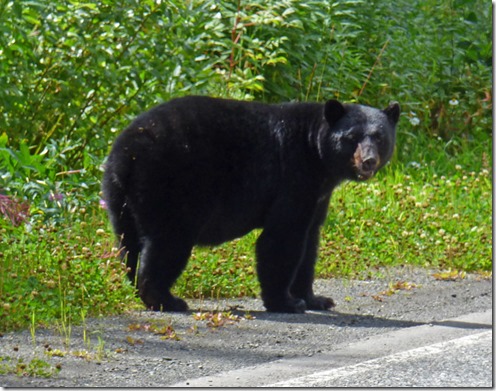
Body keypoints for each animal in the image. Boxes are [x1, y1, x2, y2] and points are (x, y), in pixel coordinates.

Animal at [102, 96, 402, 314]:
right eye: (351, 137)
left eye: (379, 137)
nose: (368, 161)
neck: (316, 155)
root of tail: (125, 155)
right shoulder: (294, 177)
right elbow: (282, 237)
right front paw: (285, 302)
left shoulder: (318, 194)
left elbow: (310, 242)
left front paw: (315, 298)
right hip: (171, 186)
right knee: (168, 242)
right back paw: (166, 299)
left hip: (122, 199)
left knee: (129, 244)